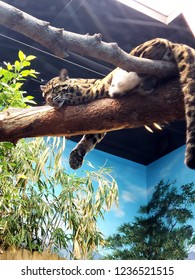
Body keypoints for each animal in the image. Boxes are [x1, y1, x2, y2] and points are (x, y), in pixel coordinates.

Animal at [41, 38, 195, 170]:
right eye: (45, 95)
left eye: (54, 89)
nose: (49, 100)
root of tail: (173, 43)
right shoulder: (99, 123)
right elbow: (90, 139)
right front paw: (76, 157)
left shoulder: (85, 91)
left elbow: (69, 96)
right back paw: (146, 85)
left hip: (141, 53)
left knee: (152, 50)